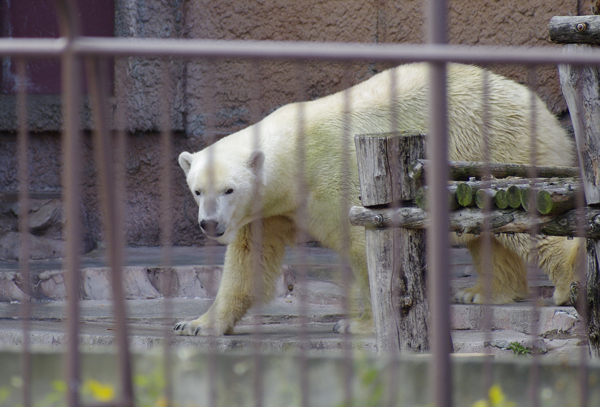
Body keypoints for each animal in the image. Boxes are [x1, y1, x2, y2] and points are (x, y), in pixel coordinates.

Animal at [173, 63, 580, 336]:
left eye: (229, 189)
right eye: (198, 189)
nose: (210, 224)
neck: (296, 154)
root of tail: (546, 113)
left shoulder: (339, 176)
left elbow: (367, 245)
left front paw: (359, 325)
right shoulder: (272, 209)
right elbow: (249, 260)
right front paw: (196, 324)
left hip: (499, 149)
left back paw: (566, 284)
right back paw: (481, 293)